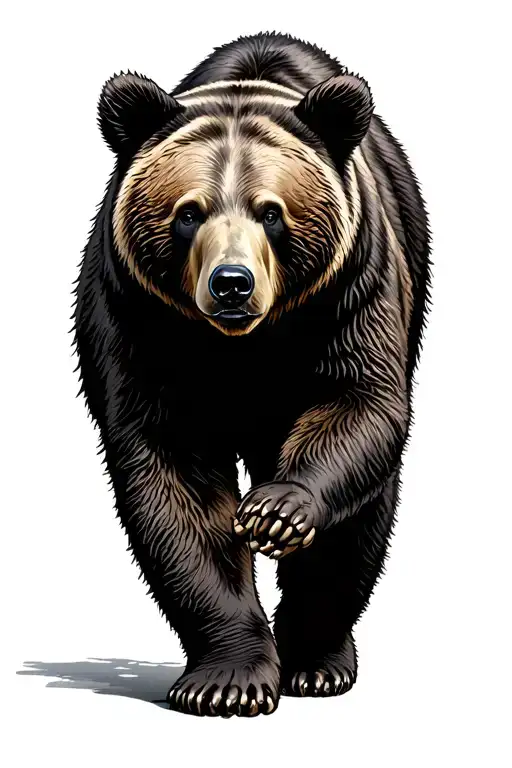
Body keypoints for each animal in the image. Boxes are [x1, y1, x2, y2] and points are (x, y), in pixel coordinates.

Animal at [74, 31, 431, 718]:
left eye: (271, 212)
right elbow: (176, 487)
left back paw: (319, 661)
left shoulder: (351, 290)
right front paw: (227, 680)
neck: (242, 347)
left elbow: (357, 400)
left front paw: (275, 512)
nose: (232, 283)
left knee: (366, 513)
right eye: (189, 212)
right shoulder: (138, 318)